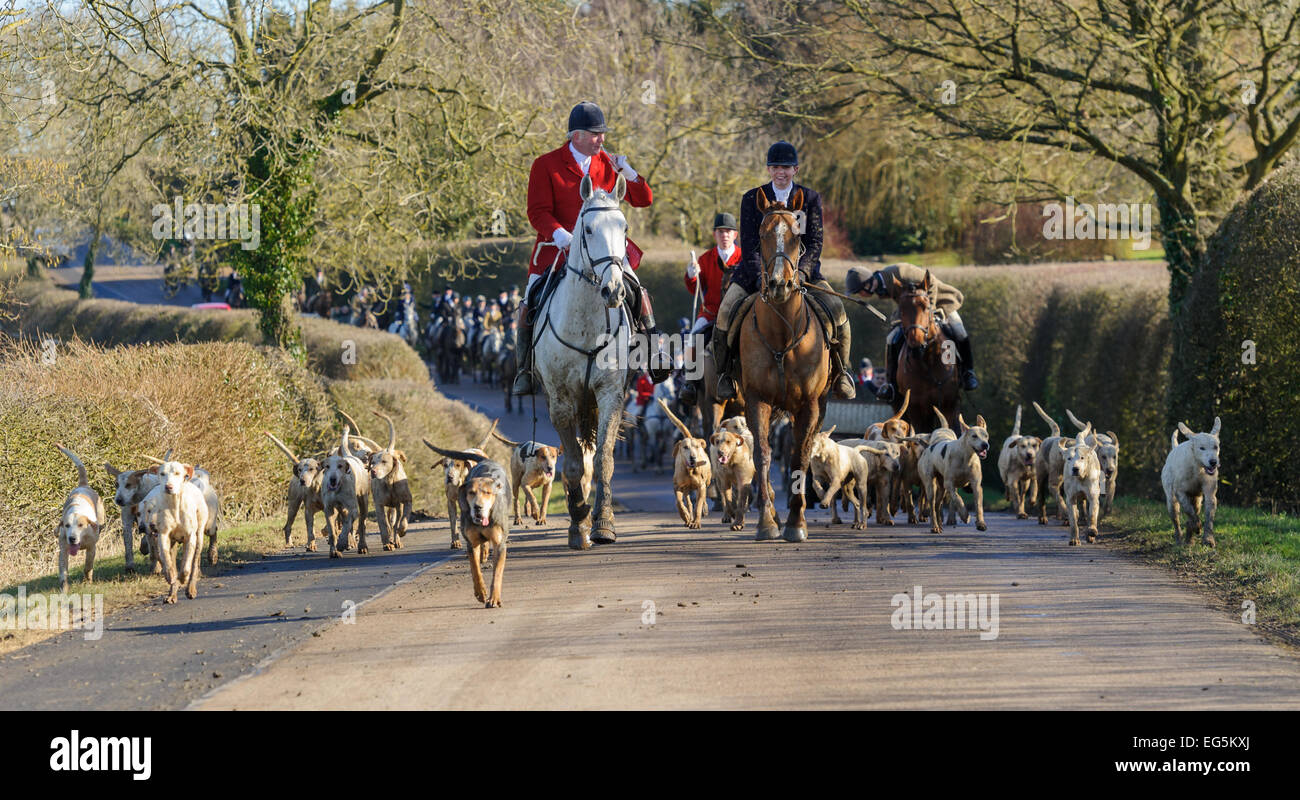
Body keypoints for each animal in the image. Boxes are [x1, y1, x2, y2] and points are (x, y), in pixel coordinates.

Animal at [530, 174, 626, 551]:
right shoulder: (560, 399)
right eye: (587, 229)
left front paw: (603, 523)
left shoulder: (609, 392)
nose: (614, 290)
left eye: (624, 227)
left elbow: (603, 459)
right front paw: (577, 521)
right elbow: (571, 465)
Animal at [738, 189, 826, 541]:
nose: (778, 285)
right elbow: (762, 455)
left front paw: (797, 522)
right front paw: (766, 521)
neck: (781, 334)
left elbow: (799, 455)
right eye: (762, 234)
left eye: (796, 236)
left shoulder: (809, 405)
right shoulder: (756, 399)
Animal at [889, 271, 961, 434]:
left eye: (927, 307)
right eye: (901, 309)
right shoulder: (916, 409)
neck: (929, 361)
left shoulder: (949, 406)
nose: (916, 344)